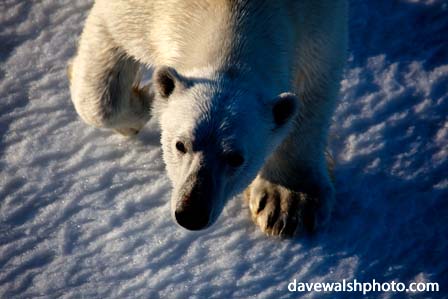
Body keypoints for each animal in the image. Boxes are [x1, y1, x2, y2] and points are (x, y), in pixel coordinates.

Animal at [69, 0, 346, 239]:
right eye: (180, 145)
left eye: (236, 157)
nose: (191, 213)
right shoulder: (136, 11)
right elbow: (102, 88)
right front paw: (145, 103)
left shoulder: (318, 20)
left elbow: (314, 83)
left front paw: (289, 203)